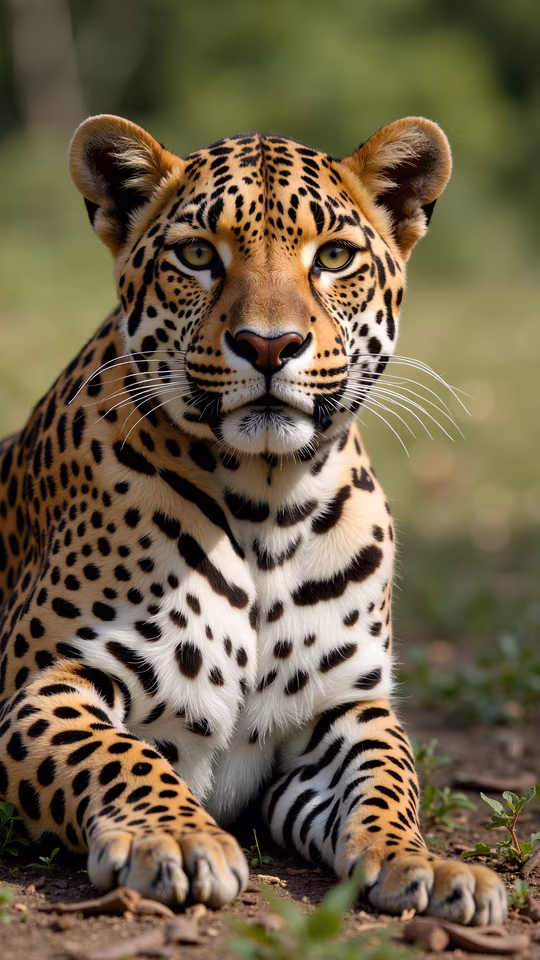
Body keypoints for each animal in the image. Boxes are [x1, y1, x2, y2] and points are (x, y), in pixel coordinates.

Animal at [0, 114, 507, 922]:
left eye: (333, 257)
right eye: (198, 255)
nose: (270, 345)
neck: (266, 501)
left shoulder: (342, 711)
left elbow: (389, 781)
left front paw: (426, 863)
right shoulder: (50, 681)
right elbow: (119, 755)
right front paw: (173, 837)